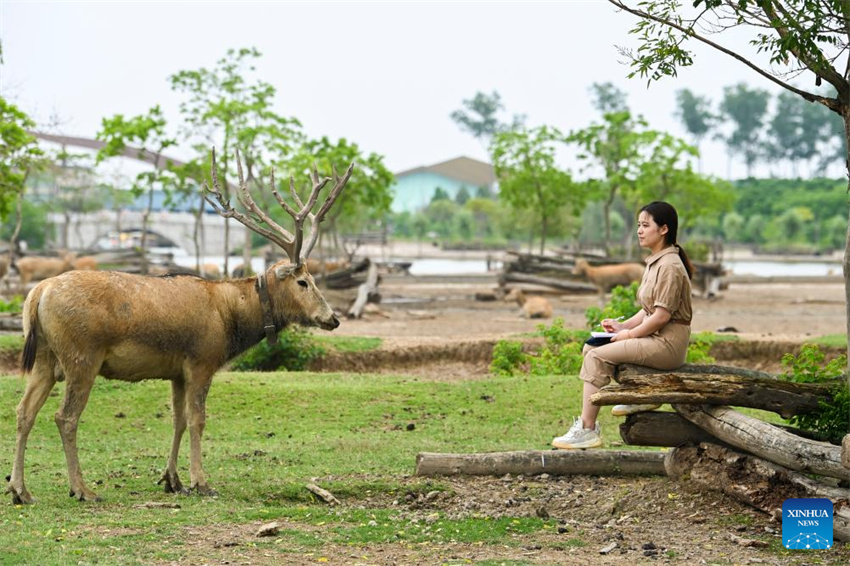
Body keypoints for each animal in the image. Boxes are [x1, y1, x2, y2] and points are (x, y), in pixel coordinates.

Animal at [7, 149, 354, 504]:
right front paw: (201, 482)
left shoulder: (176, 371)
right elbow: (198, 420)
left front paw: (172, 479)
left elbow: (179, 420)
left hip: (45, 358)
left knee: (24, 411)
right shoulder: (202, 360)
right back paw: (81, 488)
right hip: (82, 356)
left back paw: (20, 490)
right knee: (65, 417)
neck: (231, 320)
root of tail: (37, 293)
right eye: (303, 281)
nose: (332, 318)